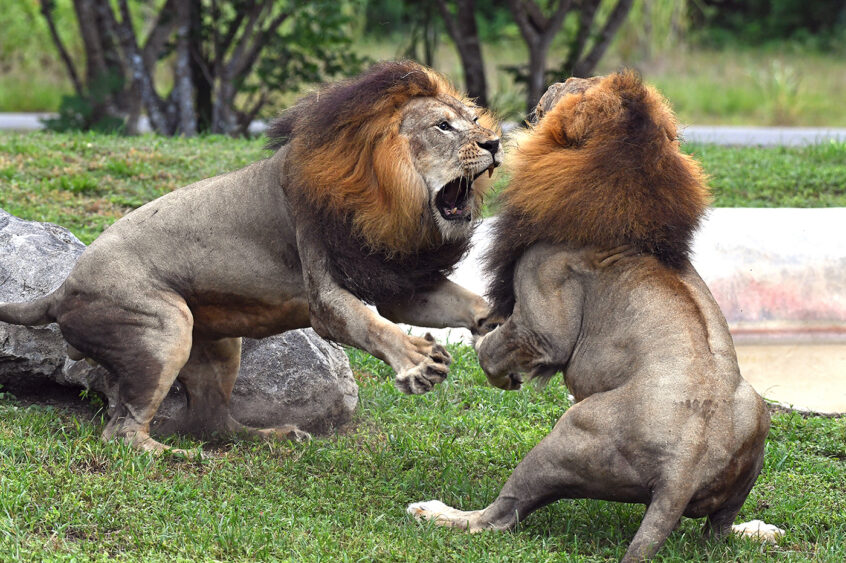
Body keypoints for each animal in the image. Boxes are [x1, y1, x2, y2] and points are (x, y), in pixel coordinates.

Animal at [0, 61, 503, 456]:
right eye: (443, 127)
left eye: (475, 118)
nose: (495, 143)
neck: (392, 192)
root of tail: (62, 287)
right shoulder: (324, 292)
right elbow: (368, 324)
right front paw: (418, 362)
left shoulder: (401, 282)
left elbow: (463, 303)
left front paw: (499, 322)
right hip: (163, 327)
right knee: (122, 433)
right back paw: (180, 457)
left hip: (219, 346)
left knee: (211, 423)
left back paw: (272, 437)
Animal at [408, 72, 780, 560]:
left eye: (580, 87)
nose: (562, 77)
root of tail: (683, 468)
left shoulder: (546, 310)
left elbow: (503, 345)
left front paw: (495, 361)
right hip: (756, 419)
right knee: (716, 532)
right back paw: (756, 529)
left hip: (565, 438)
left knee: (497, 518)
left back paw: (434, 512)